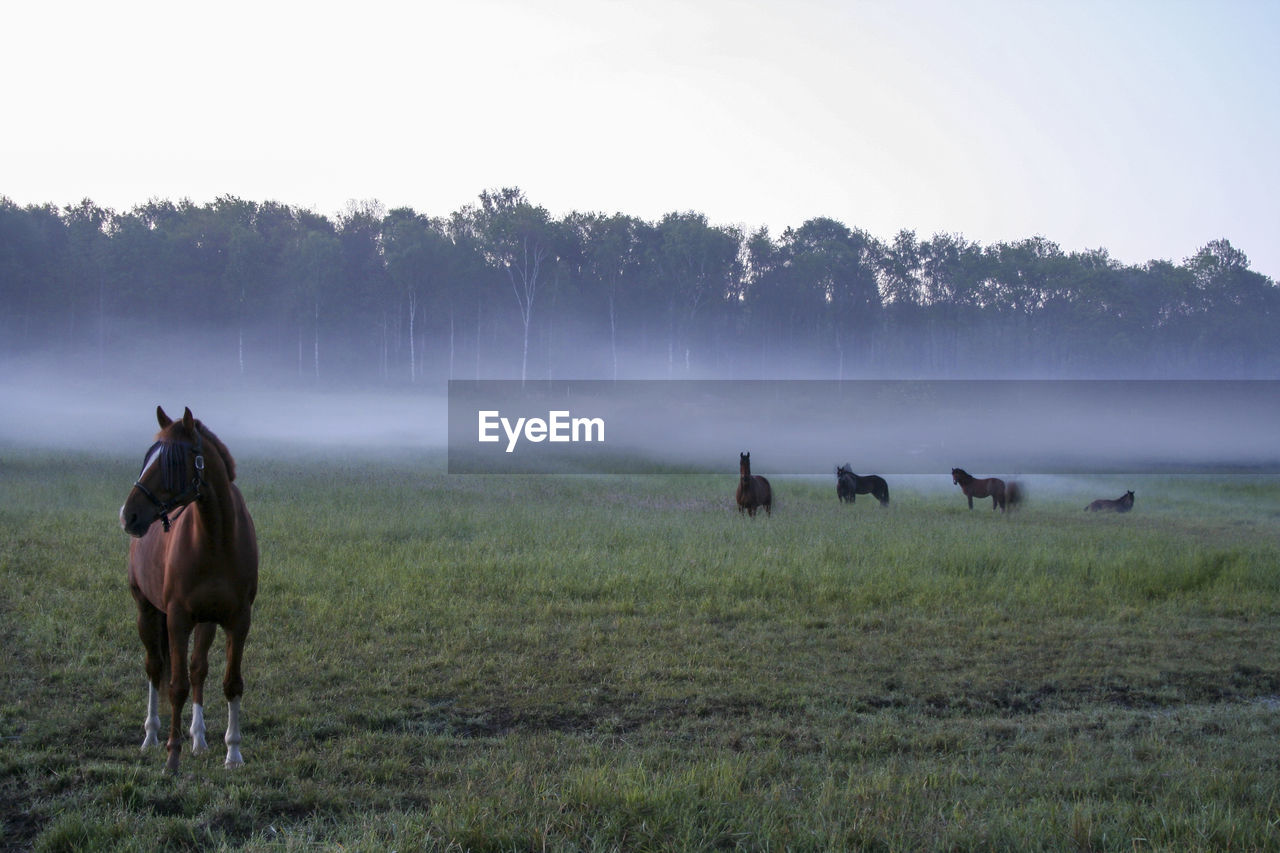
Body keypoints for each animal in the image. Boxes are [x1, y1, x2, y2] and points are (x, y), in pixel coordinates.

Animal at [119, 404, 257, 768]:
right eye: (148, 457)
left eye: (172, 463)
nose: (128, 515)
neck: (215, 539)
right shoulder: (177, 619)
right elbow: (176, 685)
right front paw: (172, 756)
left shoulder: (238, 620)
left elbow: (230, 683)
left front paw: (233, 753)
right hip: (147, 611)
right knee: (155, 667)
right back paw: (152, 736)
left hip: (206, 620)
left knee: (198, 669)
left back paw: (199, 739)